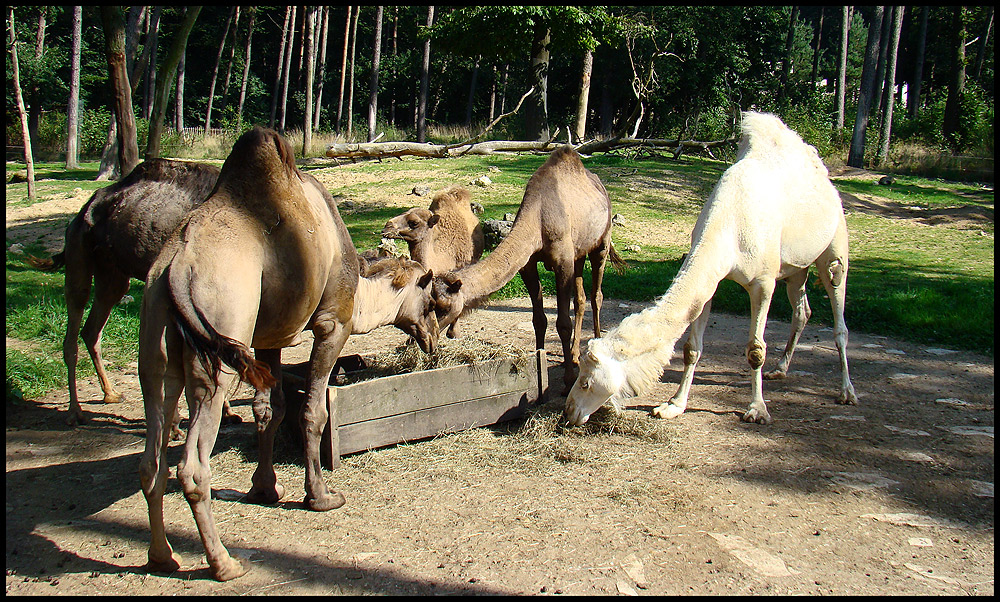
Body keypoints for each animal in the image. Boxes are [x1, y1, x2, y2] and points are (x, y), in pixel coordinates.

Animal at [27, 157, 223, 424]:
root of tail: (84, 209)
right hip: (78, 250)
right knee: (74, 317)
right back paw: (75, 411)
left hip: (112, 272)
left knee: (92, 327)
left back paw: (110, 394)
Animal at [139, 127, 360, 580]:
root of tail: (175, 270)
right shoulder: (333, 321)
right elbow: (313, 411)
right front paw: (321, 496)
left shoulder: (268, 337)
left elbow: (269, 409)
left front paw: (265, 488)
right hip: (219, 341)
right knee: (192, 466)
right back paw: (224, 563)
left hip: (157, 350)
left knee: (152, 460)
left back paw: (162, 556)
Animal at [432, 145, 624, 390]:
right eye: (428, 303)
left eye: (443, 306)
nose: (426, 336)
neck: (538, 219)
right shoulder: (529, 265)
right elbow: (538, 320)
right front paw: (539, 363)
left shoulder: (563, 262)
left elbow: (563, 323)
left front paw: (568, 380)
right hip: (579, 251)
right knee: (580, 298)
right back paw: (573, 356)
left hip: (602, 241)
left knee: (596, 294)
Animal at [564, 110, 860, 424]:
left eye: (587, 381)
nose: (569, 411)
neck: (730, 229)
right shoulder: (710, 281)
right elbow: (691, 348)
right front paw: (673, 405)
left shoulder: (763, 283)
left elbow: (756, 349)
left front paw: (757, 409)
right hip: (796, 269)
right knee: (802, 310)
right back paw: (780, 369)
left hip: (835, 244)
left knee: (838, 307)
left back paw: (847, 392)